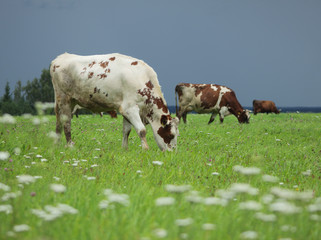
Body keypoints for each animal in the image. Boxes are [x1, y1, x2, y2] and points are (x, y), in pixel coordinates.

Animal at [51, 52, 179, 151]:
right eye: (170, 134)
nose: (173, 153)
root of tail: (61, 57)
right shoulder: (130, 108)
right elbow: (141, 130)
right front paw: (145, 149)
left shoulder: (126, 110)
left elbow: (126, 130)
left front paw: (124, 149)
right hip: (64, 98)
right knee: (66, 122)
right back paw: (70, 145)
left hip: (70, 101)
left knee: (59, 121)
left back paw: (57, 143)